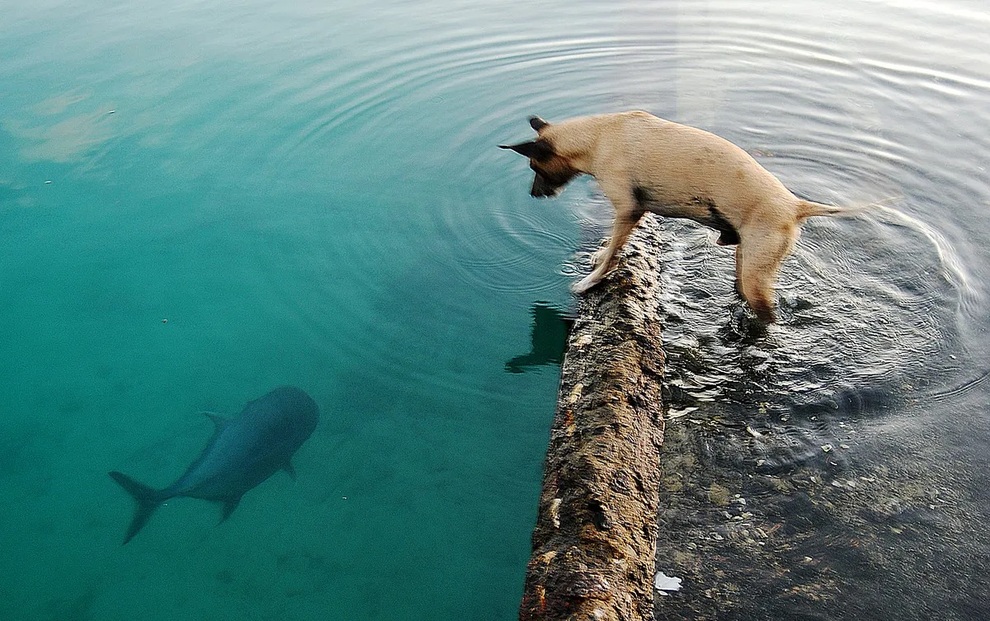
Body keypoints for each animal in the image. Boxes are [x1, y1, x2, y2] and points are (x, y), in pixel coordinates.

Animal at [508, 111, 856, 322]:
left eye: (535, 167)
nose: (533, 194)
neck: (599, 136)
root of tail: (796, 206)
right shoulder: (627, 213)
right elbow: (611, 247)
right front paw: (599, 254)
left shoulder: (628, 210)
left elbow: (613, 254)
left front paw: (591, 280)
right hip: (746, 261)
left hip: (757, 276)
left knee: (768, 316)